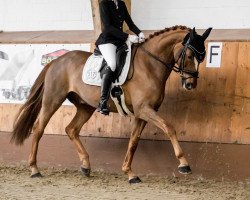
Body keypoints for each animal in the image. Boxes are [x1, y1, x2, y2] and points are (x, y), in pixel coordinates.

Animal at [10, 25, 212, 184]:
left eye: (202, 57)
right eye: (189, 55)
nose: (190, 84)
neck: (149, 66)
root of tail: (55, 62)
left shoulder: (143, 113)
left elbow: (134, 141)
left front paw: (130, 173)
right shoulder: (144, 110)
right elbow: (169, 127)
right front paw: (184, 164)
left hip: (85, 106)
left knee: (71, 129)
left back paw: (85, 166)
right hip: (53, 99)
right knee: (39, 128)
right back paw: (34, 170)